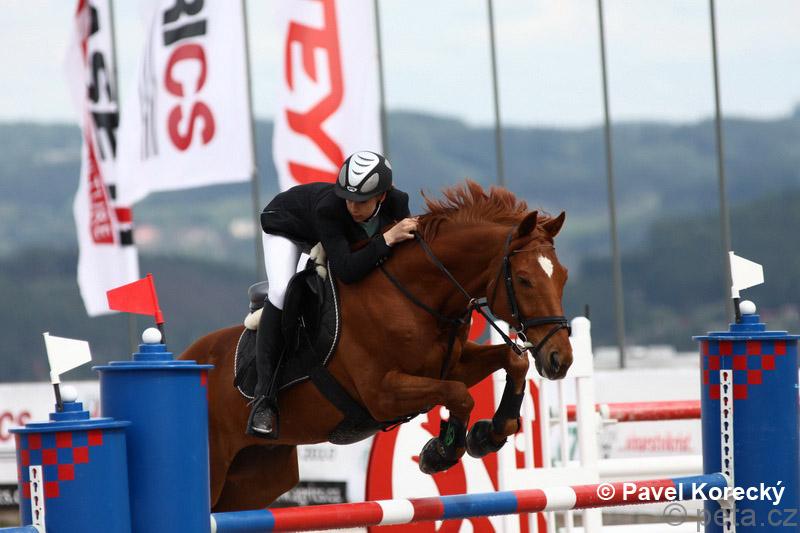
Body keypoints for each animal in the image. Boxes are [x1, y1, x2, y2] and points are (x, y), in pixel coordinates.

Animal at [180, 181, 573, 512]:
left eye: (563, 276)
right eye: (524, 279)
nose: (561, 360)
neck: (415, 293)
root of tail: (186, 359)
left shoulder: (451, 364)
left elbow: (512, 362)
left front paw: (489, 434)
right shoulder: (381, 394)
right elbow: (459, 394)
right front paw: (440, 452)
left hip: (256, 478)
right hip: (216, 471)